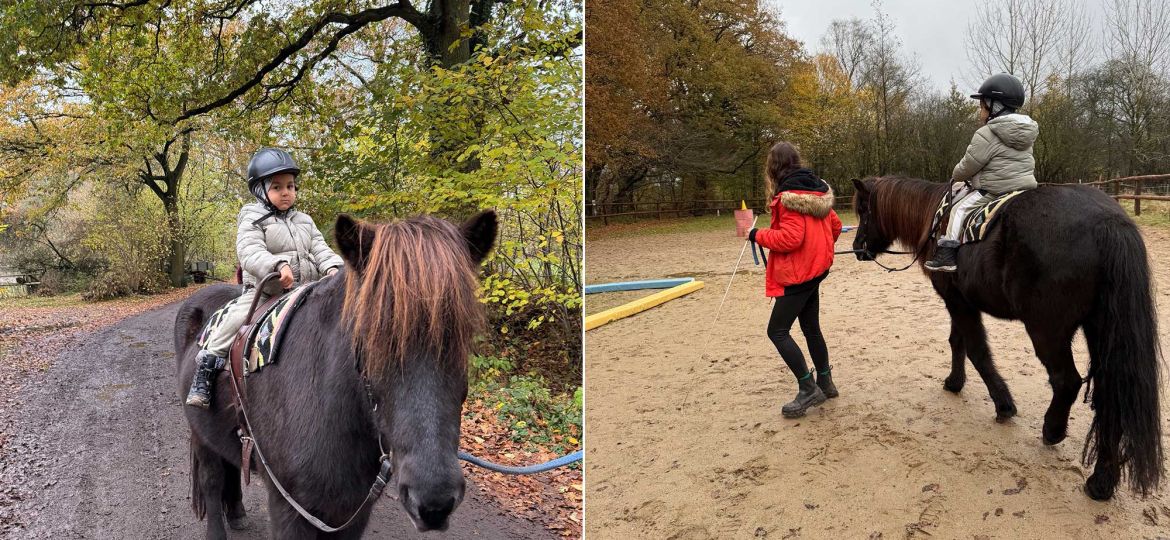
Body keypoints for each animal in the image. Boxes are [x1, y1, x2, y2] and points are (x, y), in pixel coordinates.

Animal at [175, 210, 496, 535]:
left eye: (463, 337)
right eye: (368, 339)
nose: (434, 502)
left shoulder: (351, 511)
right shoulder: (288, 507)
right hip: (199, 434)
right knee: (212, 481)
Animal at [851, 177, 1160, 502]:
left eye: (864, 210)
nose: (857, 247)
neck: (936, 220)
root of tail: (1108, 221)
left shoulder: (957, 302)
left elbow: (976, 351)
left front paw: (1003, 405)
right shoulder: (960, 301)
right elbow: (957, 342)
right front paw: (955, 382)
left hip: (1047, 330)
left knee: (1067, 382)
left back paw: (1053, 431)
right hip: (1101, 331)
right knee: (1111, 394)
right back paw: (1101, 482)